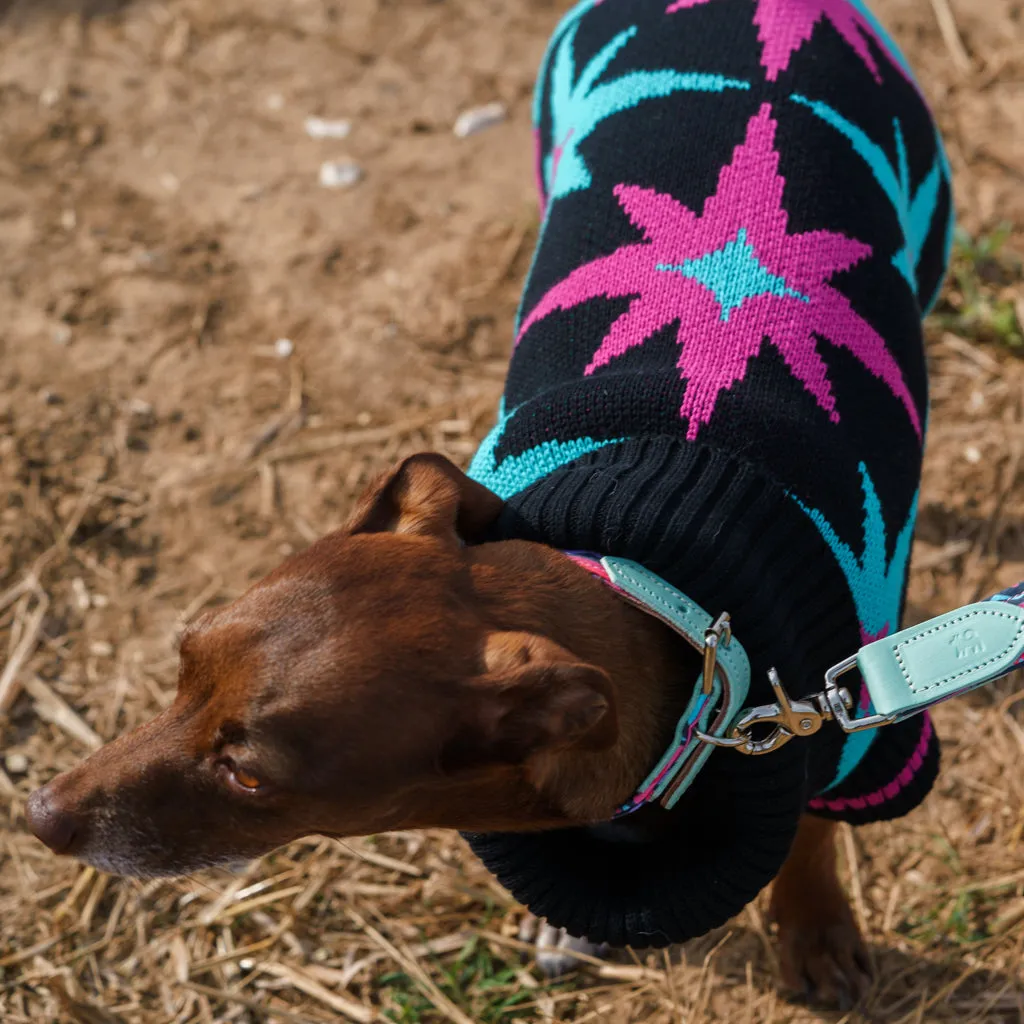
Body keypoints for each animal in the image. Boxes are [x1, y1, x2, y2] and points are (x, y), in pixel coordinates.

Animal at [28, 454, 868, 999]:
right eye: (183, 663)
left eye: (248, 775)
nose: (40, 817)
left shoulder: (839, 739)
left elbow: (811, 837)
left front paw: (815, 932)